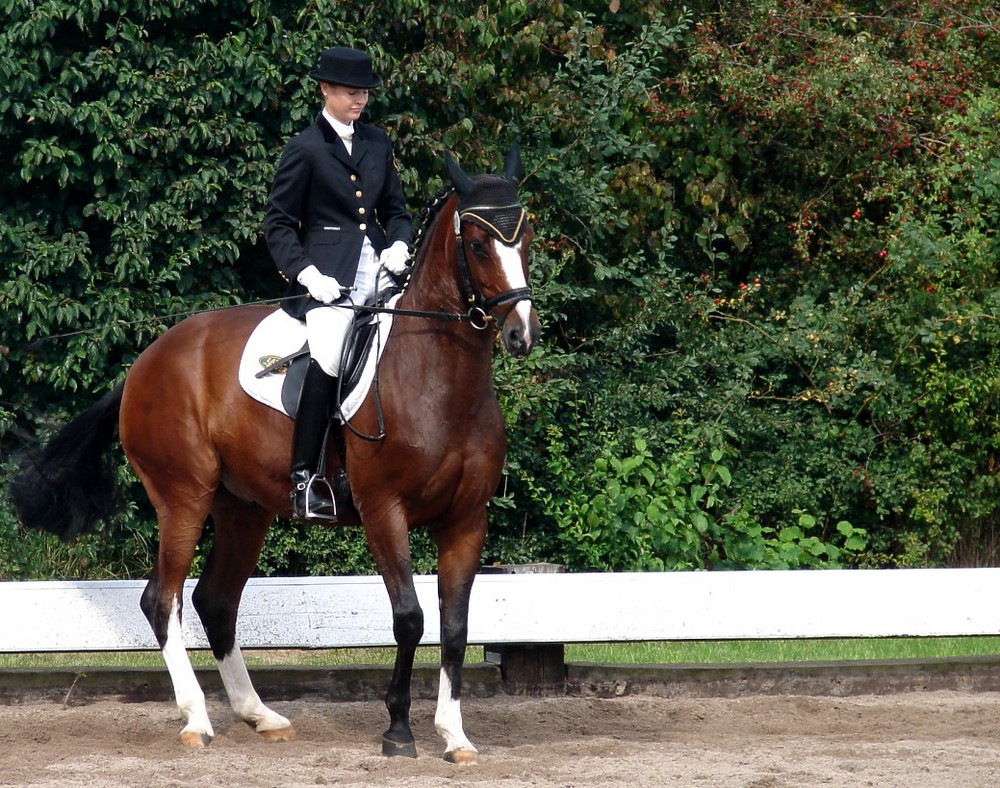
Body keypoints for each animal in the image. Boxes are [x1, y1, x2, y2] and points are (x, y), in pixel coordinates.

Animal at [10, 148, 540, 763]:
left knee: (215, 601)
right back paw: (197, 720)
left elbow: (455, 627)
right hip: (183, 499)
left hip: (243, 509)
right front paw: (398, 731)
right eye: (477, 244)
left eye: (527, 237)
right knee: (162, 600)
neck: (439, 378)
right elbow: (409, 618)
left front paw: (455, 736)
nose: (520, 334)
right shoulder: (385, 511)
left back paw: (259, 714)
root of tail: (148, 359)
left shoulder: (466, 520)